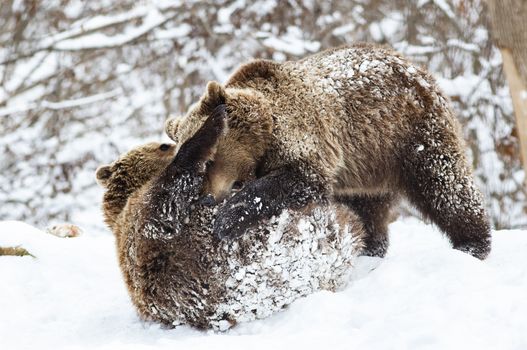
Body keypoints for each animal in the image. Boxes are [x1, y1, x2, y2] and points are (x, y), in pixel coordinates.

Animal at [167, 42, 492, 258]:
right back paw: (370, 246)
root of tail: (414, 66)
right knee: (369, 208)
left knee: (443, 183)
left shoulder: (307, 138)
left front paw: (226, 220)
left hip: (409, 133)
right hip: (367, 164)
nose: (204, 198)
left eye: (209, 159)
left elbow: (300, 179)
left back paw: (472, 244)